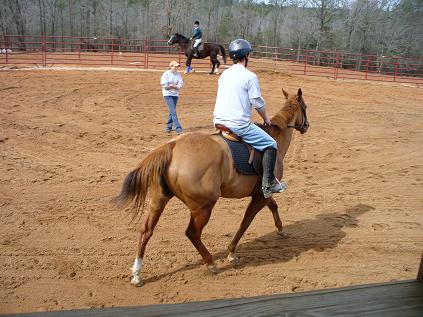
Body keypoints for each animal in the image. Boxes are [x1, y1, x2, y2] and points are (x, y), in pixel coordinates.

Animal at [114, 87, 310, 286]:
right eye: (305, 107)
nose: (306, 126)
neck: (274, 137)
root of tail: (172, 147)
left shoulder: (262, 192)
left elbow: (273, 206)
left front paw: (281, 229)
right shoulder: (261, 194)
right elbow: (245, 222)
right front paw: (231, 252)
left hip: (158, 201)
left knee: (146, 231)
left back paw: (137, 273)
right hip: (204, 207)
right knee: (192, 233)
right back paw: (211, 263)